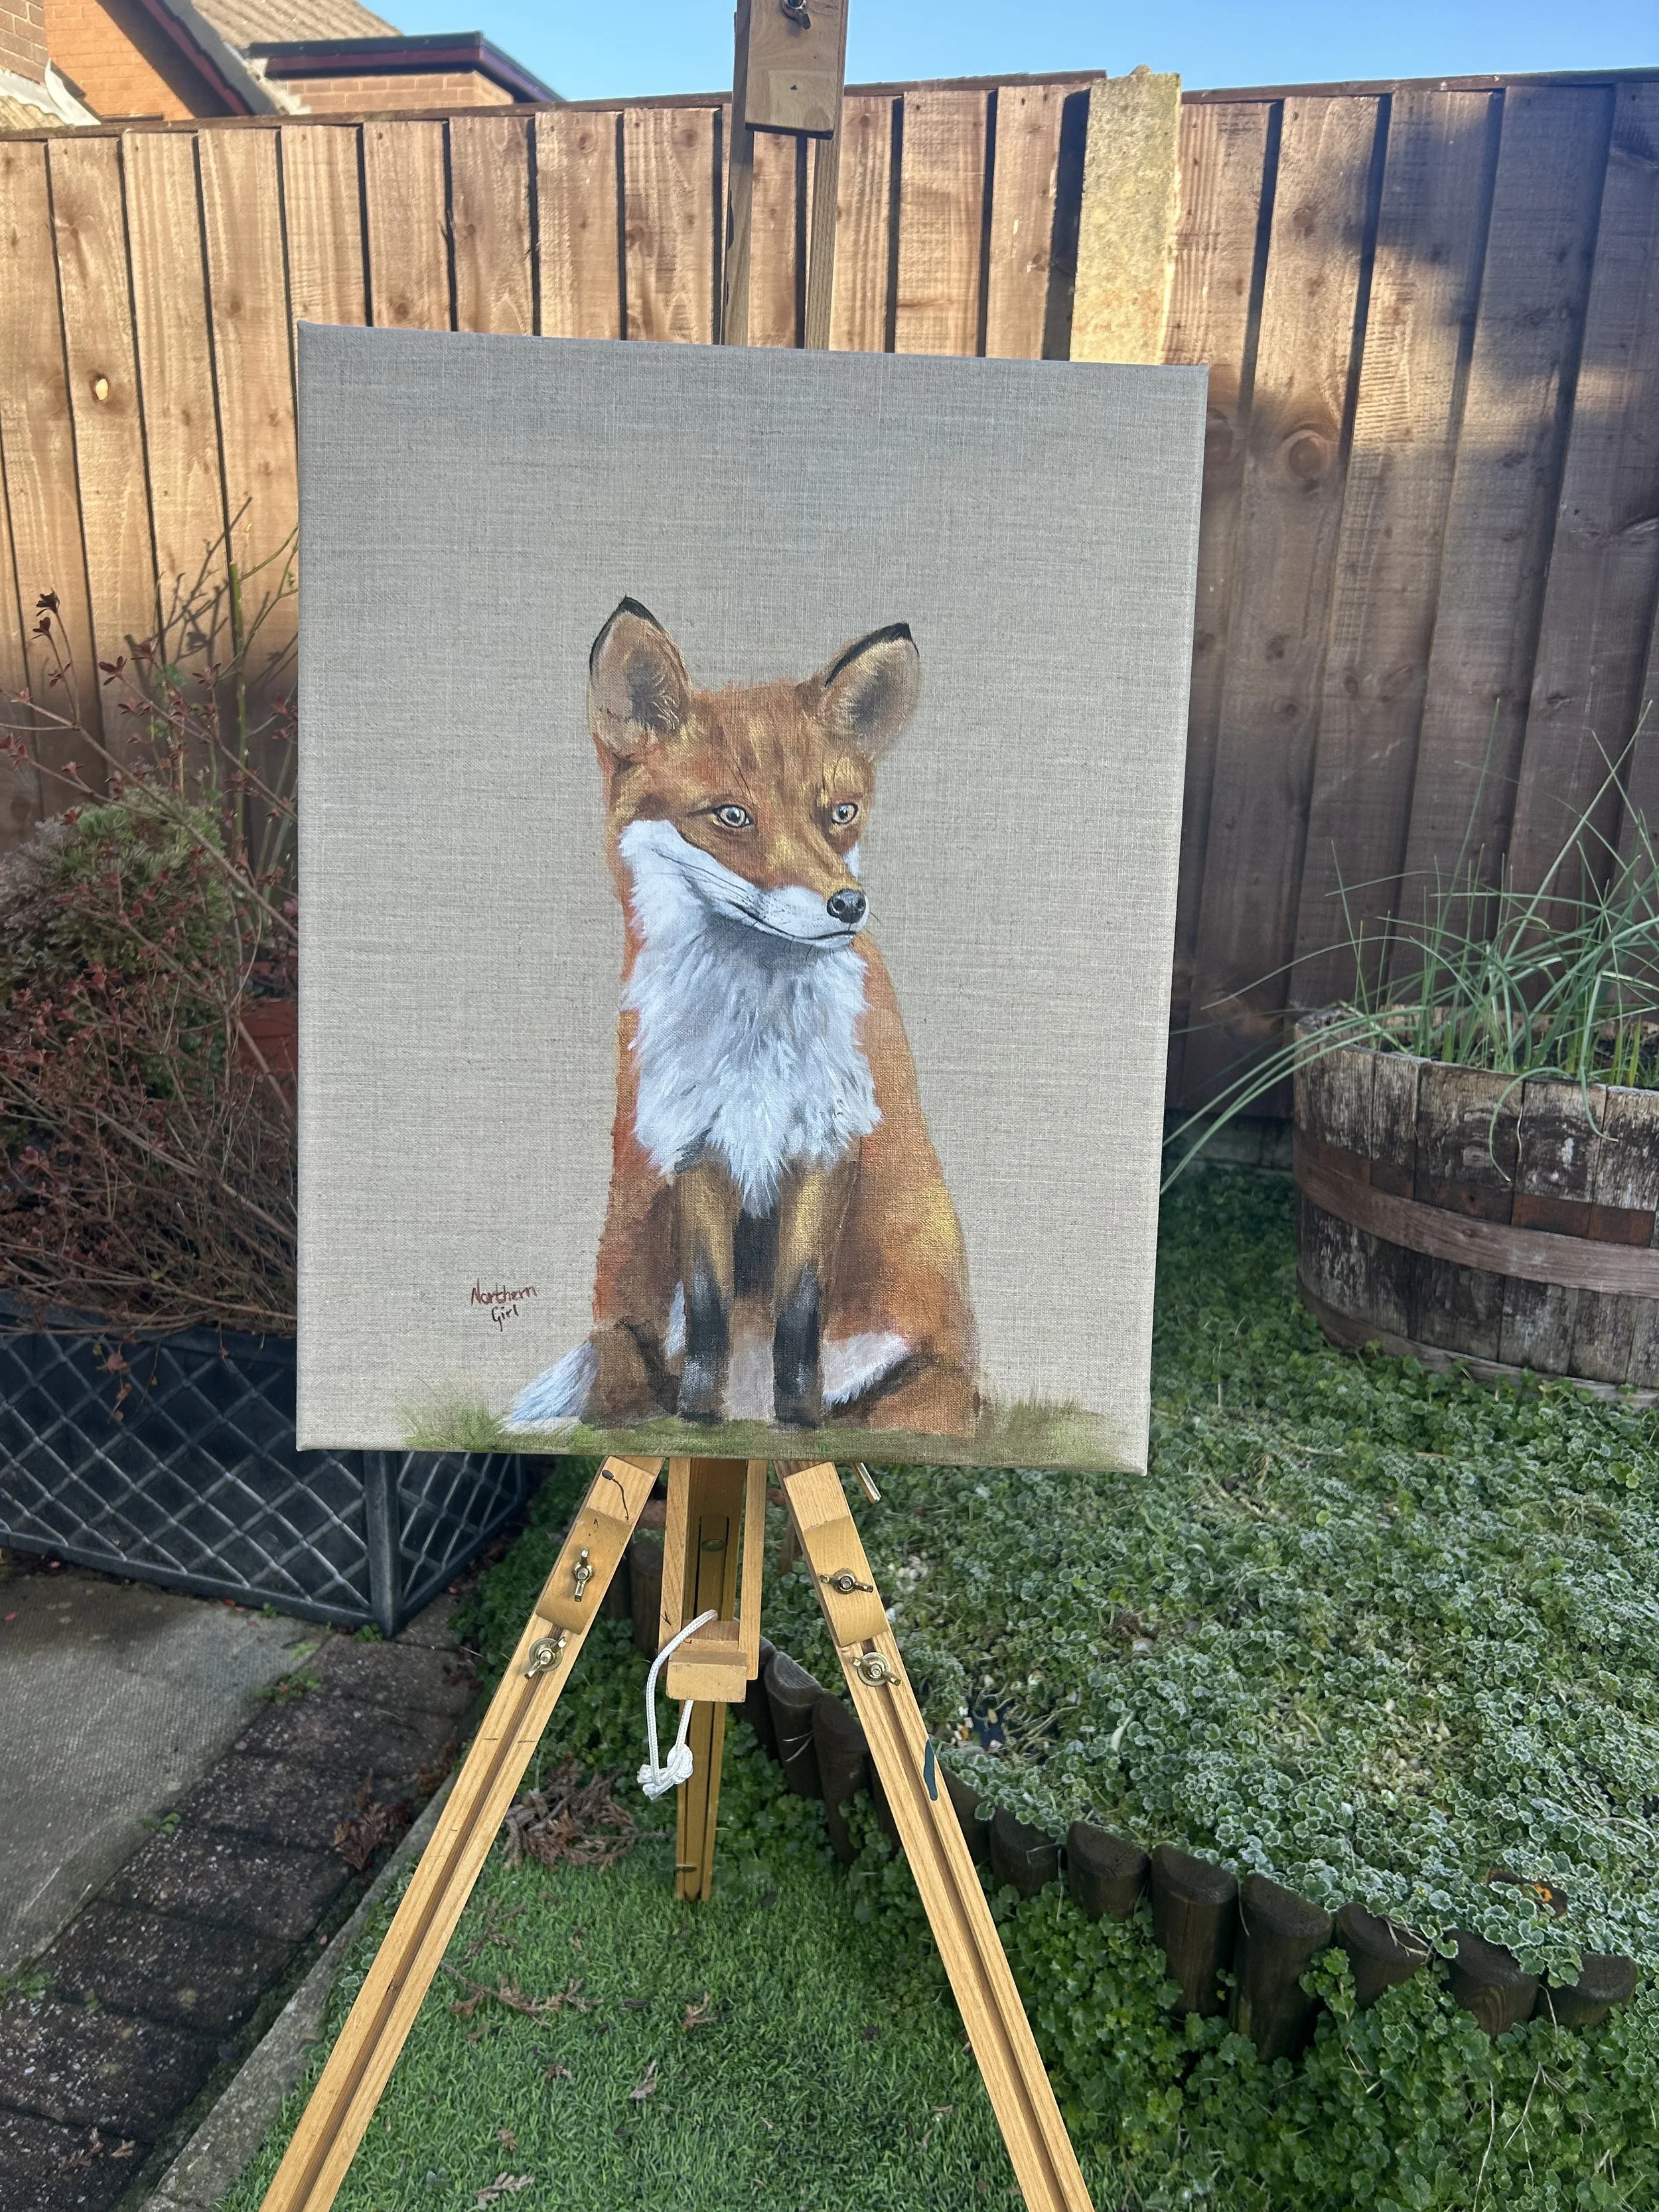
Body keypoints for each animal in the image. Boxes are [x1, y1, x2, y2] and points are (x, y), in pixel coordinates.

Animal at [509, 597, 978, 1437]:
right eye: (731, 815)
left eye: (840, 813)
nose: (848, 905)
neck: (755, 1037)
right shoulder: (697, 1146)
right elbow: (707, 1306)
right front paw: (699, 1413)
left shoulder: (826, 1144)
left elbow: (798, 1305)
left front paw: (799, 1417)